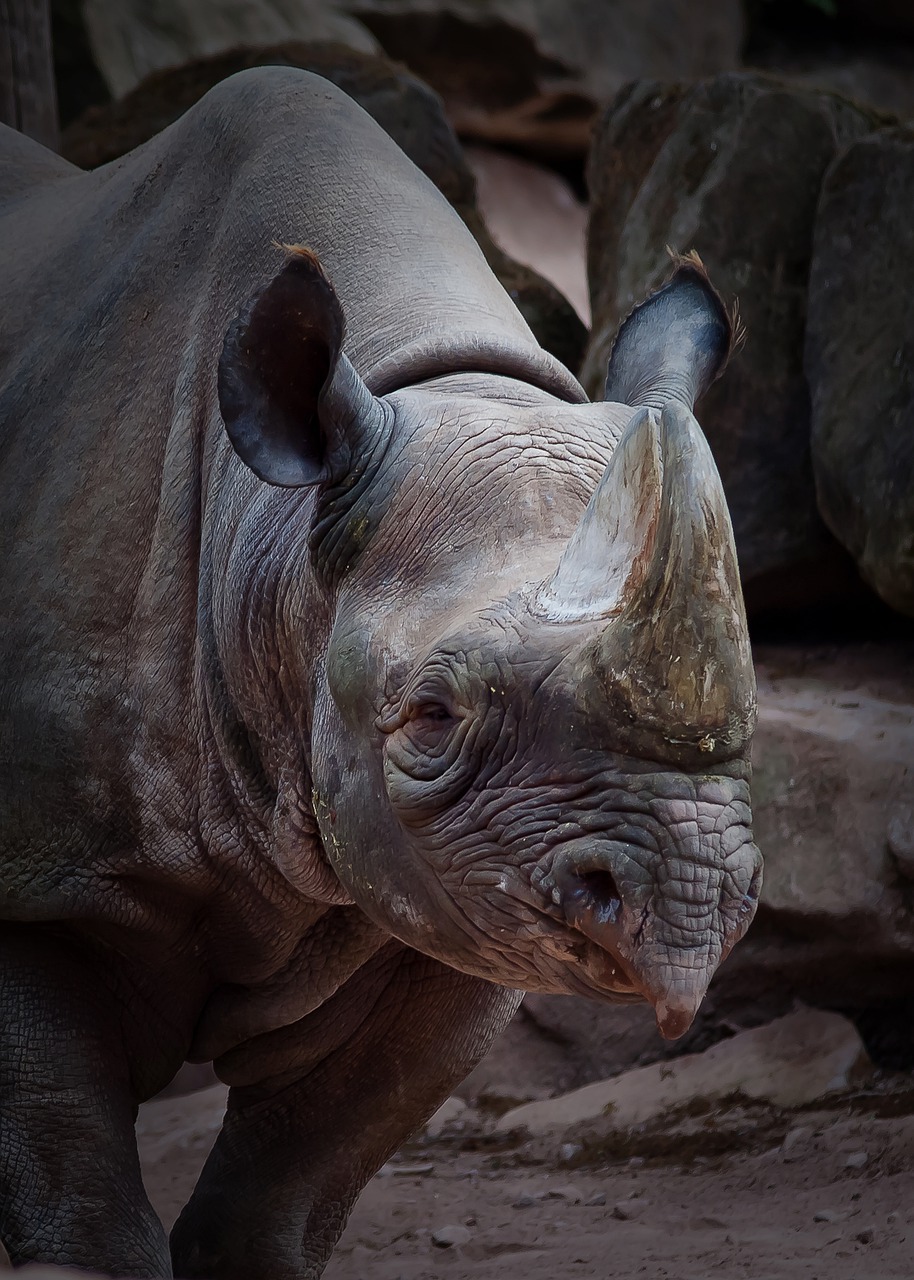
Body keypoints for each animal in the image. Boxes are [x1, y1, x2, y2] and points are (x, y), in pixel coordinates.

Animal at [0, 67, 752, 1280]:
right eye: (431, 716)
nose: (688, 913)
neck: (271, 543)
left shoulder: (454, 916)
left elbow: (289, 1185)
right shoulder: (41, 880)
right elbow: (83, 1205)